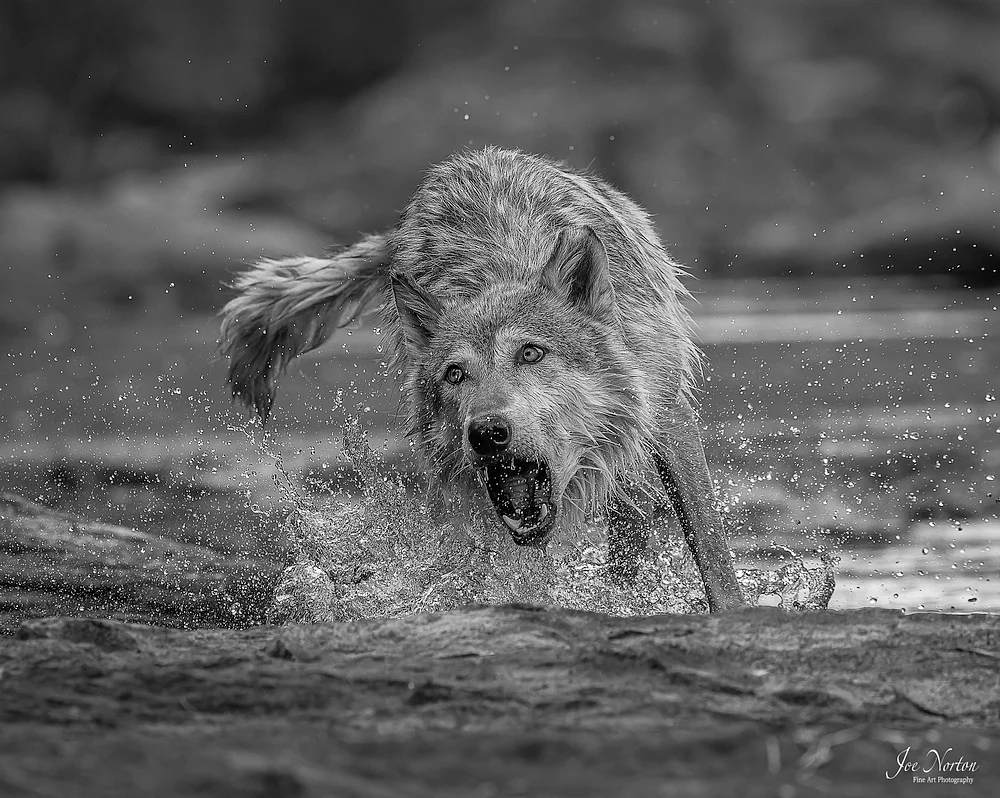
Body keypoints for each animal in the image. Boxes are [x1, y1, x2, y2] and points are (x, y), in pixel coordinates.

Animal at [219, 146, 744, 612]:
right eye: (455, 374)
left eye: (531, 353)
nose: (488, 432)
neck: (499, 273)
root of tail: (468, 159)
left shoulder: (668, 418)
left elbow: (712, 549)